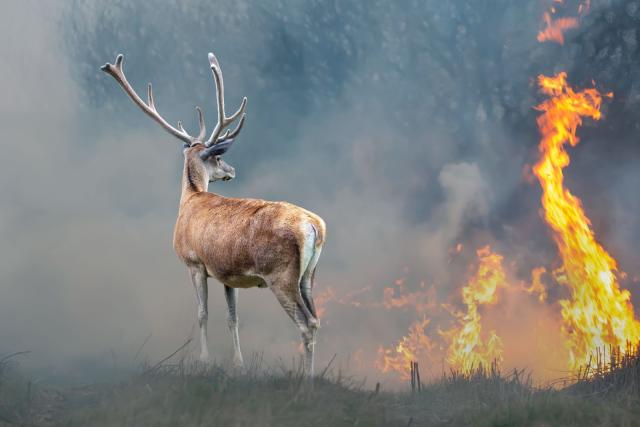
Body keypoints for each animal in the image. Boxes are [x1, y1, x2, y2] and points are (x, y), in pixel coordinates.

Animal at [101, 52, 326, 377]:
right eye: (219, 158)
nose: (232, 169)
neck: (190, 199)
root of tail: (314, 226)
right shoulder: (227, 273)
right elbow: (232, 317)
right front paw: (238, 364)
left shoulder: (194, 262)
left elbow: (202, 313)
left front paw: (204, 361)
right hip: (309, 274)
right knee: (316, 319)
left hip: (280, 274)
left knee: (306, 323)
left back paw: (306, 379)